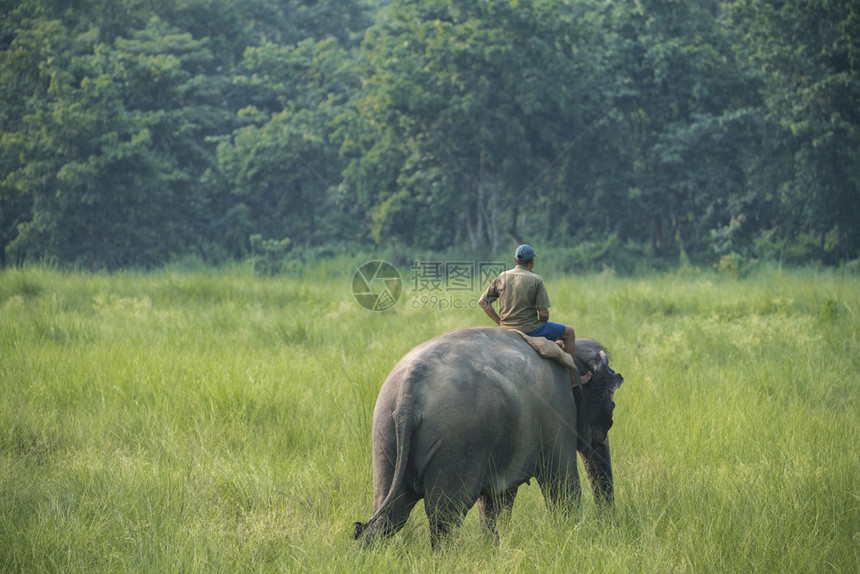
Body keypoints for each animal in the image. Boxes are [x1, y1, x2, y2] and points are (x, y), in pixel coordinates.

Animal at [354, 328, 624, 548]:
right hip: (457, 442)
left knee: (391, 513)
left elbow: (498, 499)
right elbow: (563, 487)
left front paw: (492, 548)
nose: (607, 522)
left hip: (384, 434)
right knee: (445, 517)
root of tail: (409, 393)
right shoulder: (558, 414)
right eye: (611, 404)